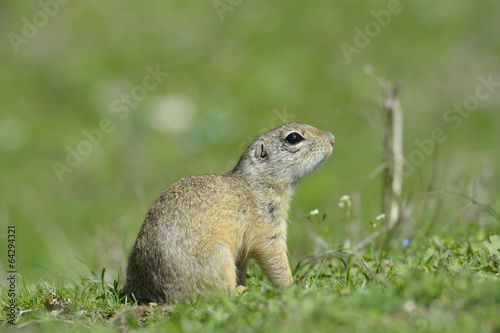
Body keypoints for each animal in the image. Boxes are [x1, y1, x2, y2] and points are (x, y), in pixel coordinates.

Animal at [125, 122, 336, 304]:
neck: (257, 183)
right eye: (293, 137)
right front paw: (293, 287)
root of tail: (161, 297)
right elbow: (274, 257)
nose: (332, 138)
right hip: (218, 256)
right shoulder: (267, 224)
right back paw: (242, 291)